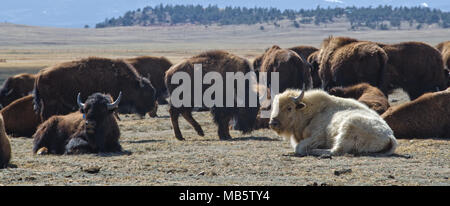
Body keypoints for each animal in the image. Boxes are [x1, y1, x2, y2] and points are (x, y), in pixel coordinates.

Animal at [268, 87, 398, 155]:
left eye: (289, 108)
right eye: (274, 106)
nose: (273, 123)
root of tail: (390, 136)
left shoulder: (316, 137)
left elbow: (299, 147)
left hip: (348, 127)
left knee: (335, 150)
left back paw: (316, 151)